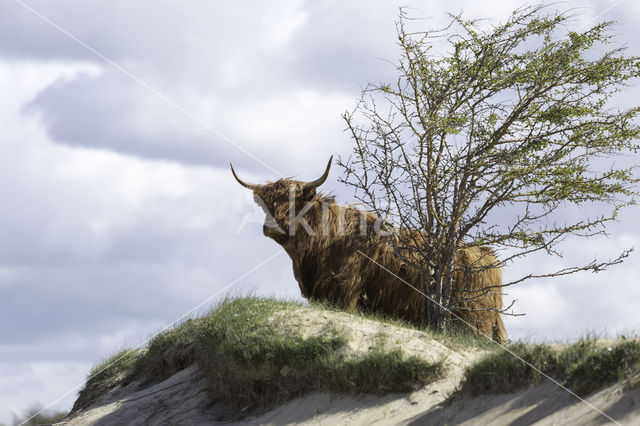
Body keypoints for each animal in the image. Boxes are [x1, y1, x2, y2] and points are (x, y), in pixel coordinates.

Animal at [232, 156, 508, 342]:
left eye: (295, 203)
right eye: (267, 204)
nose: (271, 227)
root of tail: (489, 257)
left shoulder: (345, 291)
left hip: (474, 320)